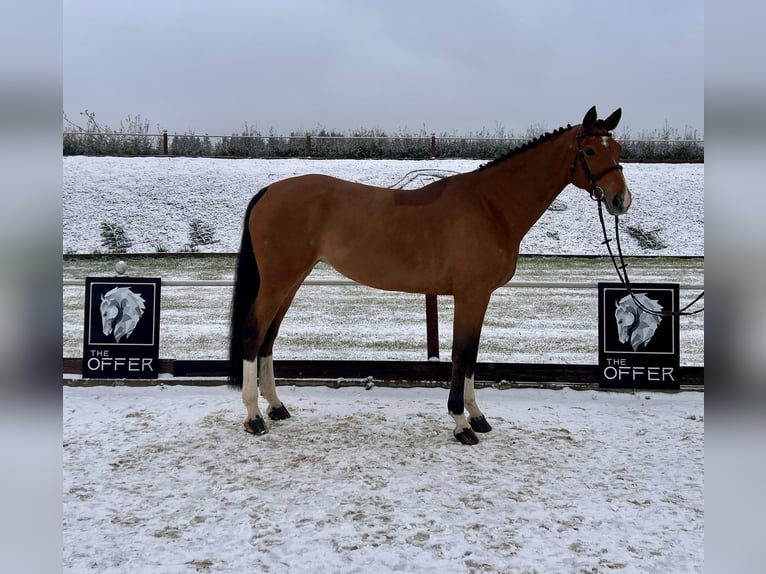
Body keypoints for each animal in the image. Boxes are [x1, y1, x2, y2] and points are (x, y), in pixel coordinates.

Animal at [231, 106, 632, 446]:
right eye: (590, 151)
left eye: (618, 148)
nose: (620, 201)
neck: (491, 207)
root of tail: (270, 191)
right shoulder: (471, 294)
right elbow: (461, 353)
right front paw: (461, 424)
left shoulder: (480, 297)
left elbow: (471, 354)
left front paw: (477, 416)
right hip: (279, 280)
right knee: (254, 330)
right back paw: (254, 417)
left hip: (291, 280)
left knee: (269, 337)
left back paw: (276, 407)